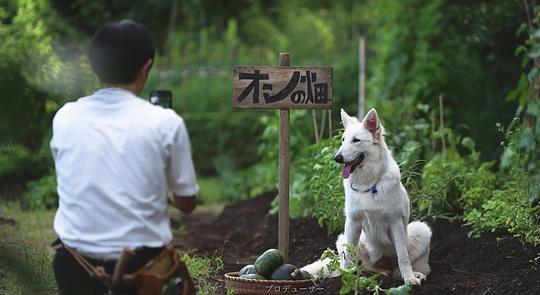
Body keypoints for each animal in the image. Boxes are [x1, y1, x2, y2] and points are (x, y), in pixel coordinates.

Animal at [302, 108, 432, 286]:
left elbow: (403, 257)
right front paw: (346, 278)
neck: (369, 184)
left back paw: (413, 274)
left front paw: (410, 278)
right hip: (344, 239)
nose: (337, 158)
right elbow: (349, 257)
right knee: (358, 265)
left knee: (398, 269)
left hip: (421, 229)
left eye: (356, 140)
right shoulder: (352, 222)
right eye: (343, 140)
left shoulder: (396, 222)